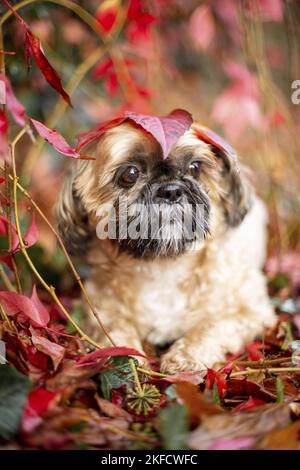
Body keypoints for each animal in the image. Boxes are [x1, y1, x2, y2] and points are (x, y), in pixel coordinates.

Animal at [56, 112, 276, 372]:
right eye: (130, 174)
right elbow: (115, 329)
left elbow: (212, 326)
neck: (164, 267)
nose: (171, 190)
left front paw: (185, 357)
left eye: (195, 167)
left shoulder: (251, 311)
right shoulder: (99, 307)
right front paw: (126, 358)